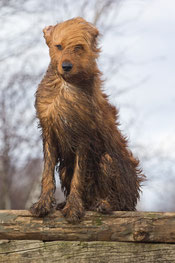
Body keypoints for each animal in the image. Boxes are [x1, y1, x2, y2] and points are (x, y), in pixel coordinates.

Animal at [30, 17, 144, 223]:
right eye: (59, 46)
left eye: (78, 47)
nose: (66, 66)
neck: (66, 85)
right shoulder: (49, 133)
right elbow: (47, 174)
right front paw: (43, 204)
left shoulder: (84, 136)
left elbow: (79, 176)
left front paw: (74, 208)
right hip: (65, 167)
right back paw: (68, 204)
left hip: (108, 162)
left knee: (120, 202)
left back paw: (103, 204)